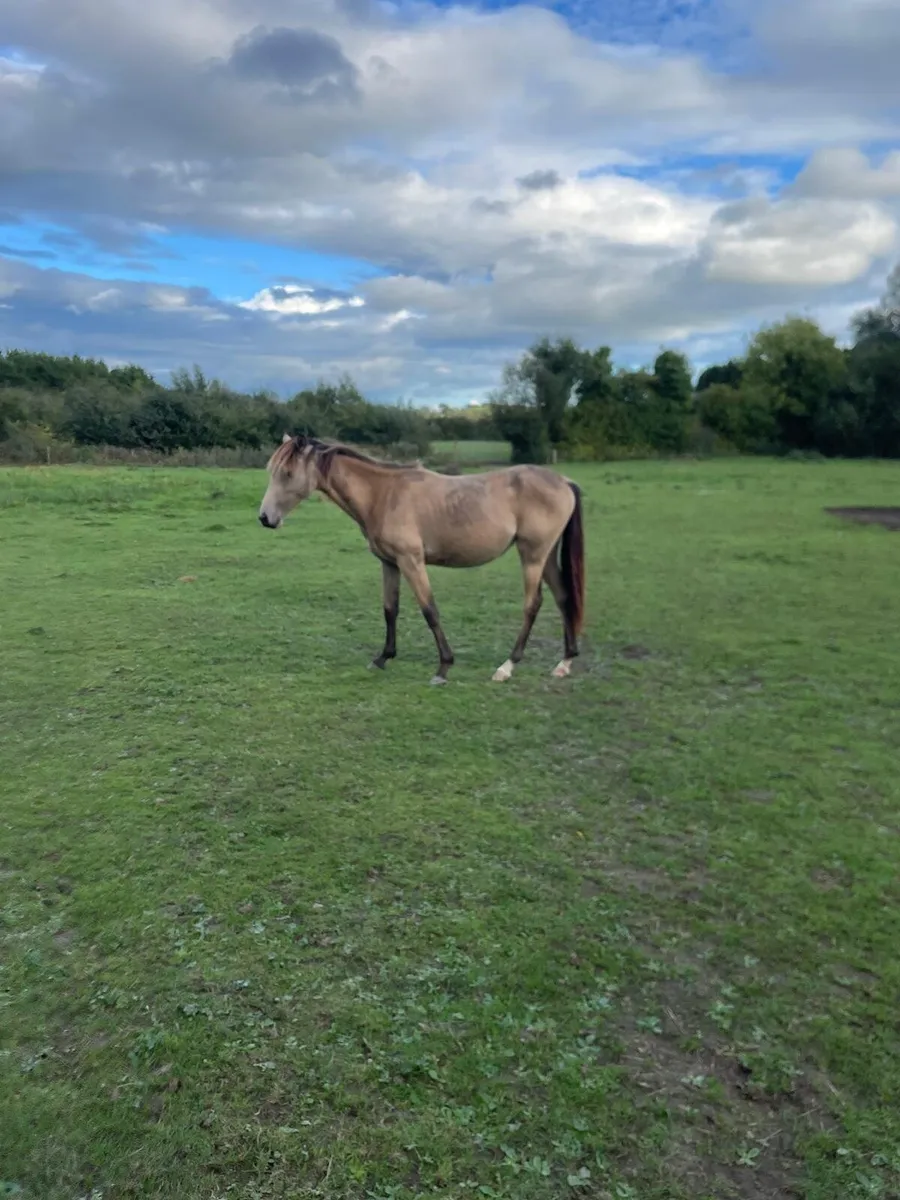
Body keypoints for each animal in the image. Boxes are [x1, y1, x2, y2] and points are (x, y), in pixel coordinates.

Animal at [258, 434, 585, 685]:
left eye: (287, 473)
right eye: (272, 471)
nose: (265, 518)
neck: (383, 494)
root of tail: (564, 481)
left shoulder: (411, 561)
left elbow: (430, 611)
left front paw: (443, 668)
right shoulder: (389, 563)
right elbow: (390, 609)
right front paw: (383, 658)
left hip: (532, 555)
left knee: (533, 604)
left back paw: (507, 666)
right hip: (545, 557)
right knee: (563, 597)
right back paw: (565, 662)